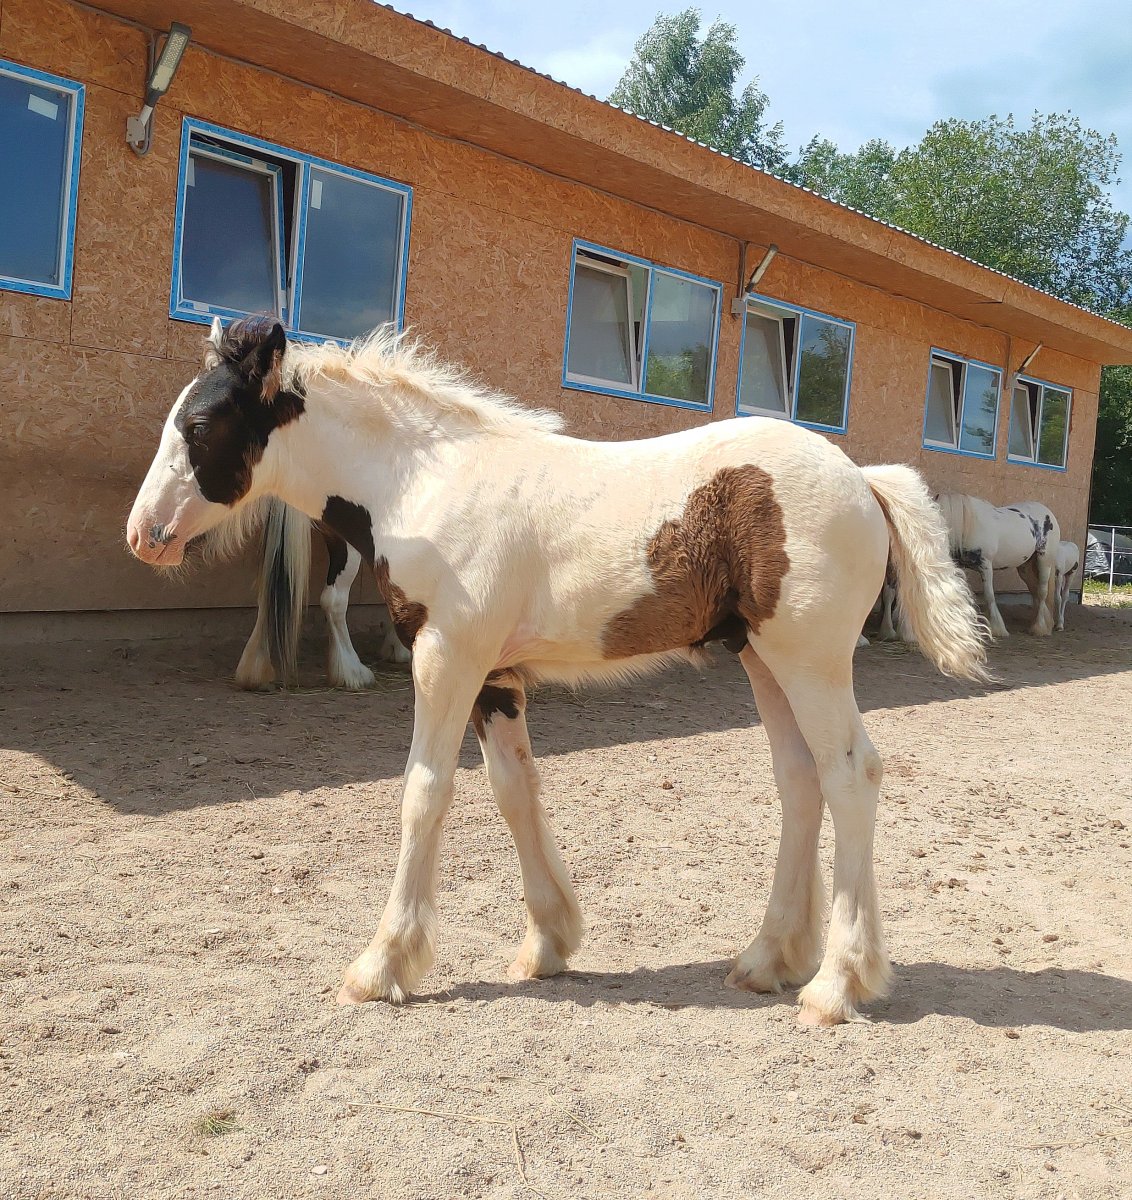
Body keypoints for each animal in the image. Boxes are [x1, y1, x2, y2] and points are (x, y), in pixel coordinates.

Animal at [126, 316, 987, 1027]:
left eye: (198, 424)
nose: (143, 534)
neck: (424, 482)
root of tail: (864, 477)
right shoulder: (495, 675)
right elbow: (515, 789)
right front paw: (548, 942)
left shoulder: (448, 656)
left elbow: (424, 793)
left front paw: (381, 966)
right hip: (763, 659)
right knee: (800, 780)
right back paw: (765, 959)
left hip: (811, 659)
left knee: (850, 775)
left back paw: (837, 984)